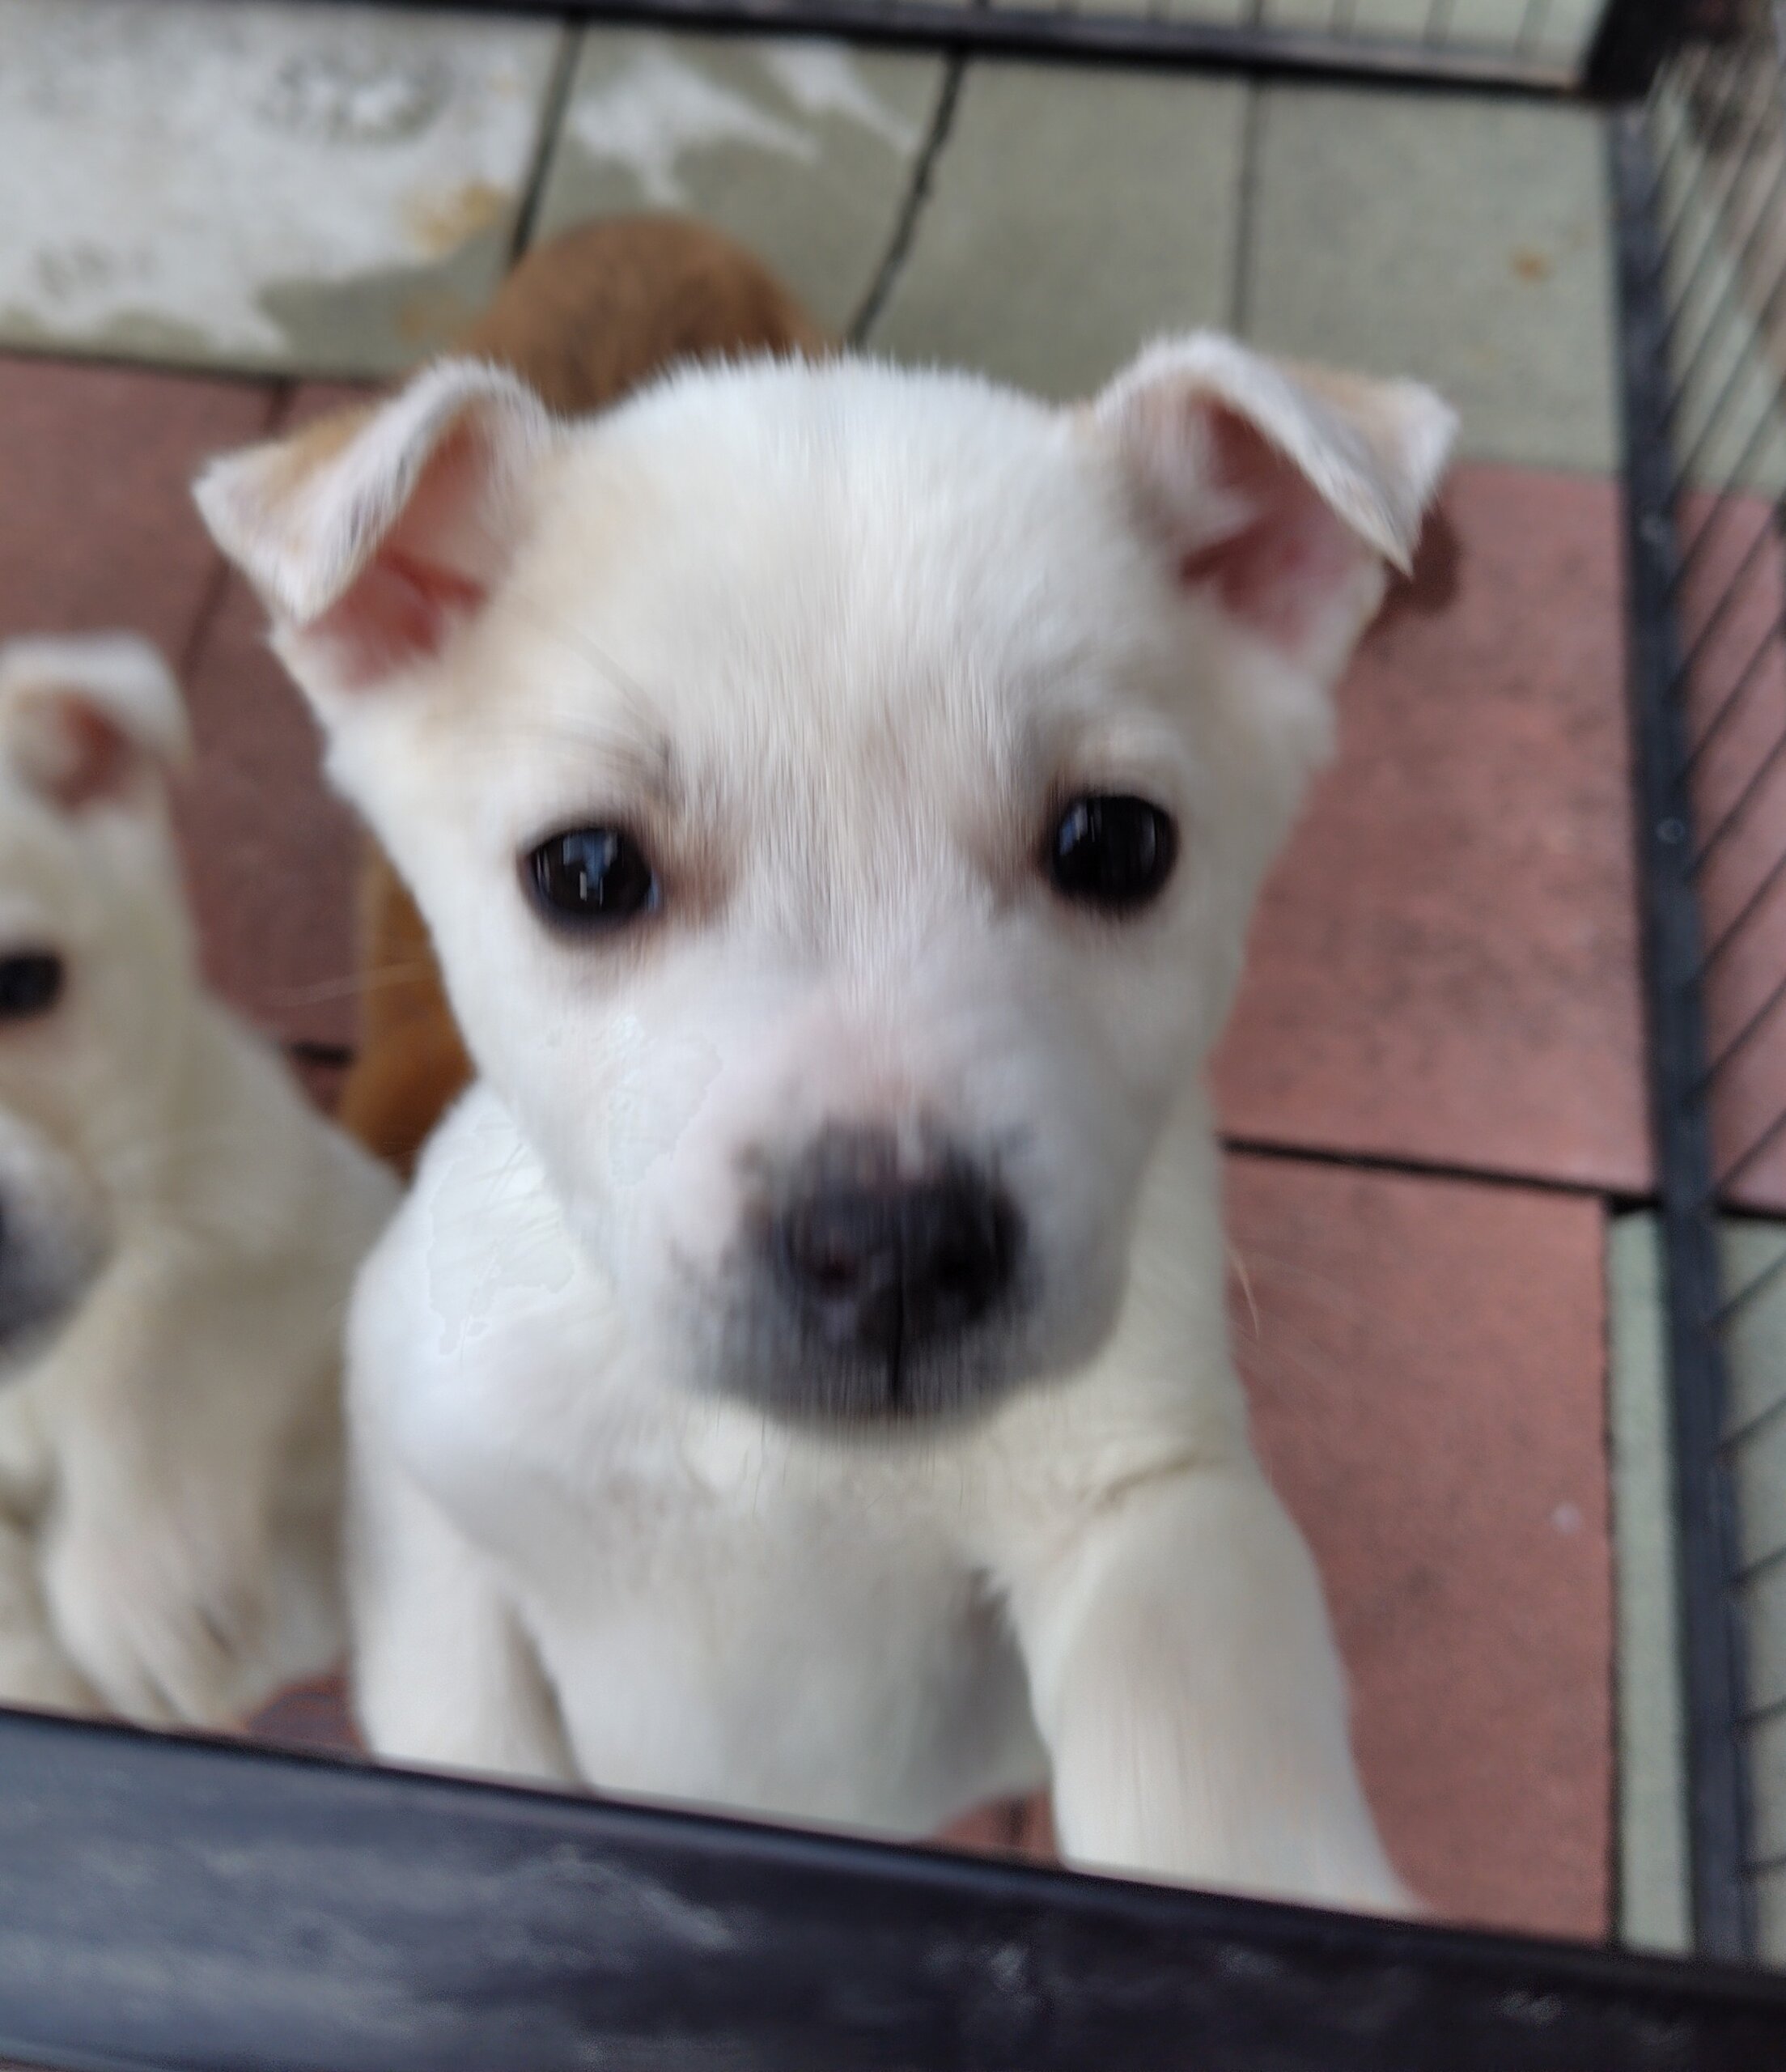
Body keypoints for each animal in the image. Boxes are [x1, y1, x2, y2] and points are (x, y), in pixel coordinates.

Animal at [198, 335, 1458, 1906]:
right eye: (585, 871)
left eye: (1116, 843)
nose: (897, 1252)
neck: (775, 1472)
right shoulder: (422, 1496)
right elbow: (465, 1726)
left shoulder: (1150, 1503)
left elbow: (1195, 1739)